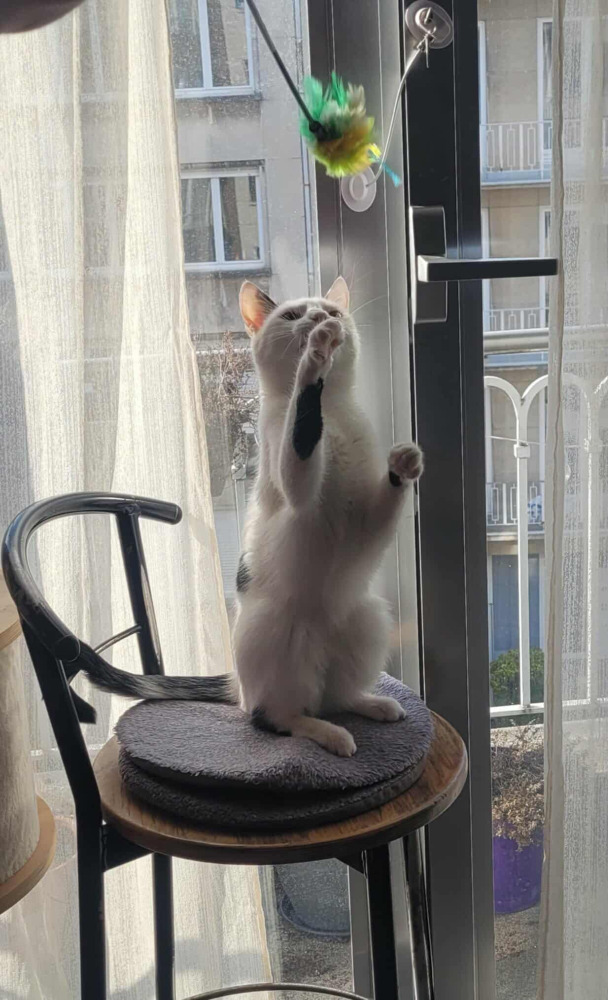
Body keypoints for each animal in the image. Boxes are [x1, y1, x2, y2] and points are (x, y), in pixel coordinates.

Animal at [76, 278, 423, 757]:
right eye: (293, 316)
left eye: (334, 309)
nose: (323, 319)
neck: (335, 413)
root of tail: (237, 686)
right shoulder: (292, 483)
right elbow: (301, 428)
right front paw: (314, 360)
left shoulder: (369, 522)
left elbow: (380, 509)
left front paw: (405, 464)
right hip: (274, 639)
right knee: (271, 716)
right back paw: (329, 734)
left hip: (368, 619)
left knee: (334, 697)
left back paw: (368, 704)